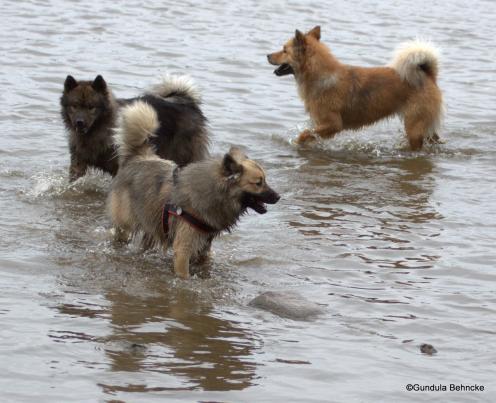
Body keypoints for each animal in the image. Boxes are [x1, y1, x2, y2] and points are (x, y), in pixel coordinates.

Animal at [270, 26, 444, 150]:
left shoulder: (333, 124)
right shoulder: (322, 123)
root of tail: (428, 75)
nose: (267, 55)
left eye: (284, 50)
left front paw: (298, 142)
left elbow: (305, 133)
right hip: (424, 125)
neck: (320, 75)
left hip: (414, 126)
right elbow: (310, 134)